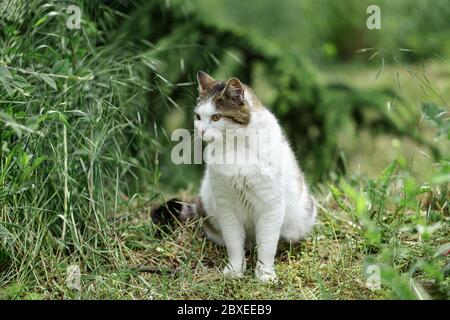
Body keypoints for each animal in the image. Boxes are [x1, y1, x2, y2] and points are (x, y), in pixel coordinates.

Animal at [186, 71, 316, 282]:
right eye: (198, 116)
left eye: (216, 117)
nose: (201, 131)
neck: (236, 147)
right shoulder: (227, 208)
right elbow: (234, 243)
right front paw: (235, 270)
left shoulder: (270, 207)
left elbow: (267, 245)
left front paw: (265, 274)